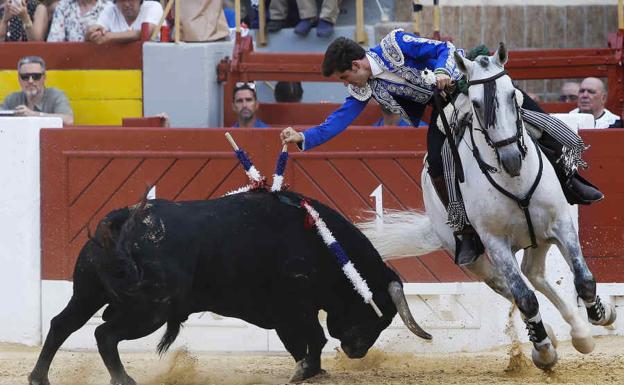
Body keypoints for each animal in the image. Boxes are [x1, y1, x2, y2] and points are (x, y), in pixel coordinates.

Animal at [28, 190, 428, 384]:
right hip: (149, 309)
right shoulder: (291, 311)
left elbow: (307, 343)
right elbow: (311, 340)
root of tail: (122, 219)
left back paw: (39, 377)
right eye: (379, 315)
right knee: (105, 334)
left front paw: (312, 371)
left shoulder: (289, 314)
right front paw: (305, 372)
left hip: (88, 291)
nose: (357, 351)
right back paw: (123, 379)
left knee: (63, 324)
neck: (320, 245)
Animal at [360, 43, 616, 370]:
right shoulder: (495, 243)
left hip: (538, 236)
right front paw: (544, 350)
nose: (511, 158)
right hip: (475, 257)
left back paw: (580, 333)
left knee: (534, 274)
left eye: (511, 94)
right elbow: (524, 297)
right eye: (477, 104)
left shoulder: (560, 223)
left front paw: (601, 315)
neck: (514, 180)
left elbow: (583, 279)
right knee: (509, 284)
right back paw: (551, 336)